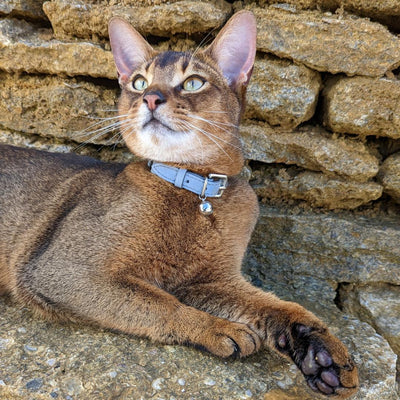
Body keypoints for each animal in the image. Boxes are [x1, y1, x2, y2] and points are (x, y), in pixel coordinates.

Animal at [0, 10, 358, 398]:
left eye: (193, 83)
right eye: (139, 82)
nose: (151, 98)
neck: (195, 189)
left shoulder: (211, 280)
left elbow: (276, 304)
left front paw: (320, 351)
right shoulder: (60, 268)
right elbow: (158, 302)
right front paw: (215, 328)